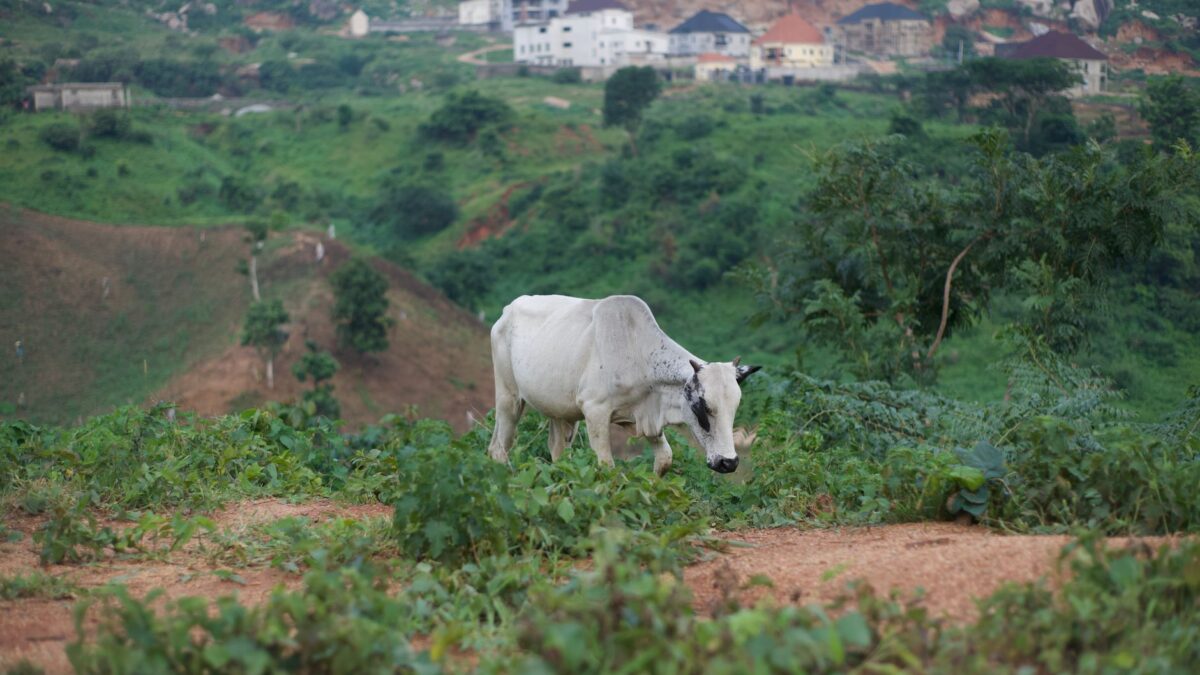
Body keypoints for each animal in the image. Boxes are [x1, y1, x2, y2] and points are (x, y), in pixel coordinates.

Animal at [487, 294, 761, 475]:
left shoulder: (646, 419)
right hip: (509, 398)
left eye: (734, 409)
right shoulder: (595, 411)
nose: (728, 462)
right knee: (498, 448)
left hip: (561, 412)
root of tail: (508, 309)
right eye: (701, 407)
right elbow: (607, 466)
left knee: (557, 451)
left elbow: (665, 459)